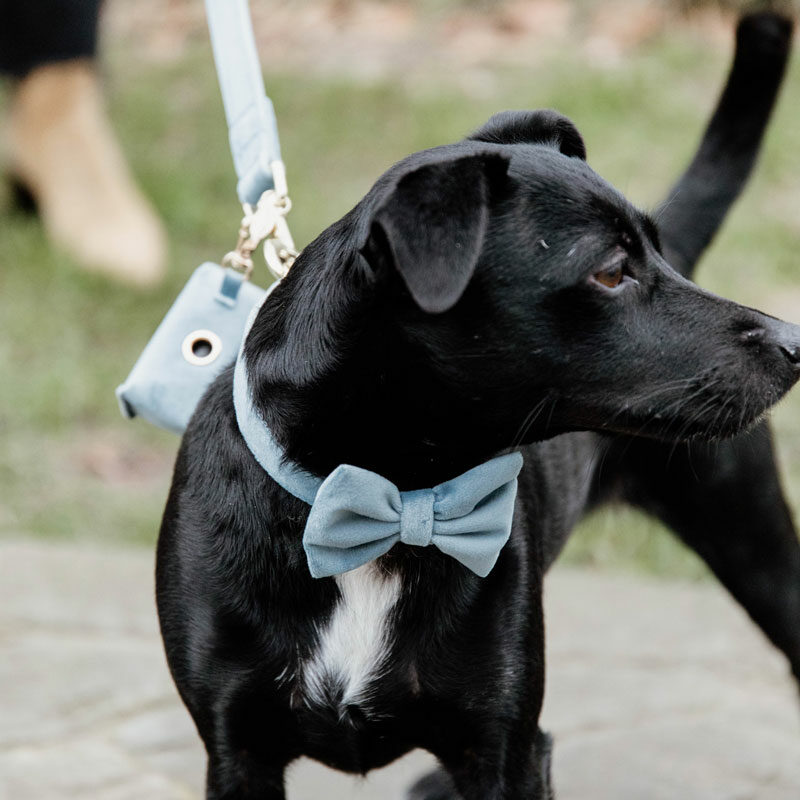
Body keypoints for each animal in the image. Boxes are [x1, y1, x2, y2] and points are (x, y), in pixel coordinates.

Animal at [156, 14, 800, 800]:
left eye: (651, 255)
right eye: (610, 272)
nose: (795, 341)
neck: (392, 497)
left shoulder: (506, 746)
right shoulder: (238, 749)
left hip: (754, 542)